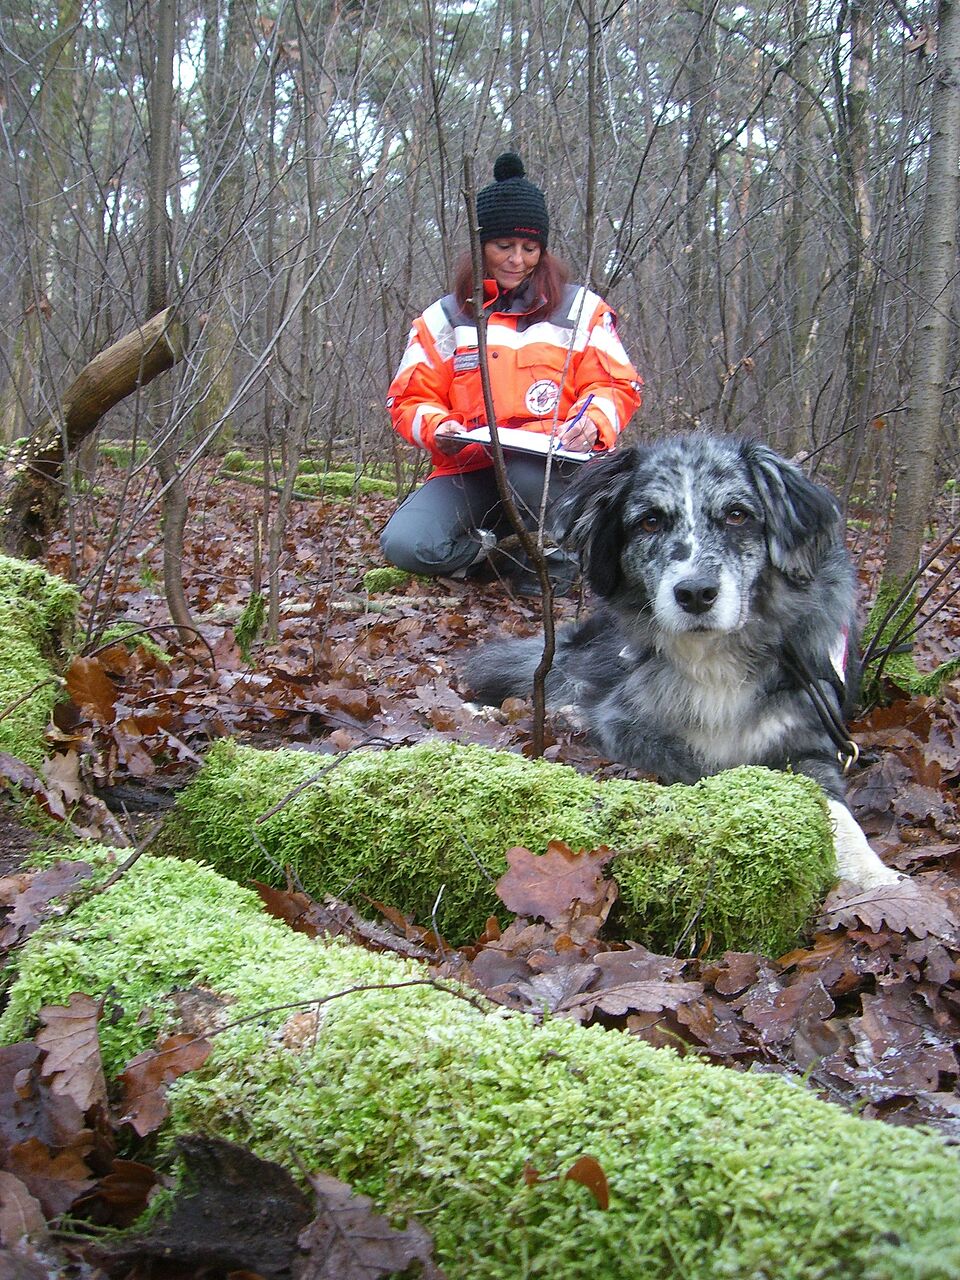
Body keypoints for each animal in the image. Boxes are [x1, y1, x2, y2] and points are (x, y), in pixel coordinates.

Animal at [464, 433, 900, 891]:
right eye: (650, 522)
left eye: (737, 515)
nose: (694, 593)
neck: (714, 654)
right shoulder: (624, 721)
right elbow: (690, 761)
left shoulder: (811, 734)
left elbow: (834, 805)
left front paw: (872, 871)